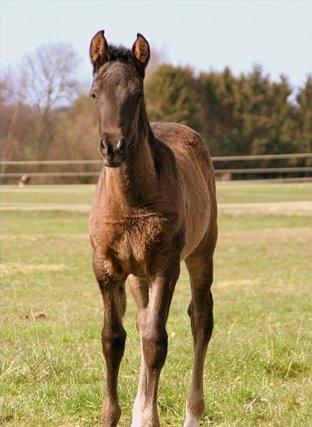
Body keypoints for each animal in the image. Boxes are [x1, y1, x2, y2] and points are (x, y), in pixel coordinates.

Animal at [89, 30, 218, 427]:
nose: (112, 147)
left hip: (201, 254)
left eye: (138, 95)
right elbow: (112, 338)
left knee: (200, 318)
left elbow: (156, 341)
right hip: (137, 276)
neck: (132, 201)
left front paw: (149, 417)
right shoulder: (107, 268)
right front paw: (115, 415)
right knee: (143, 319)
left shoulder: (165, 266)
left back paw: (193, 413)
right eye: (94, 93)